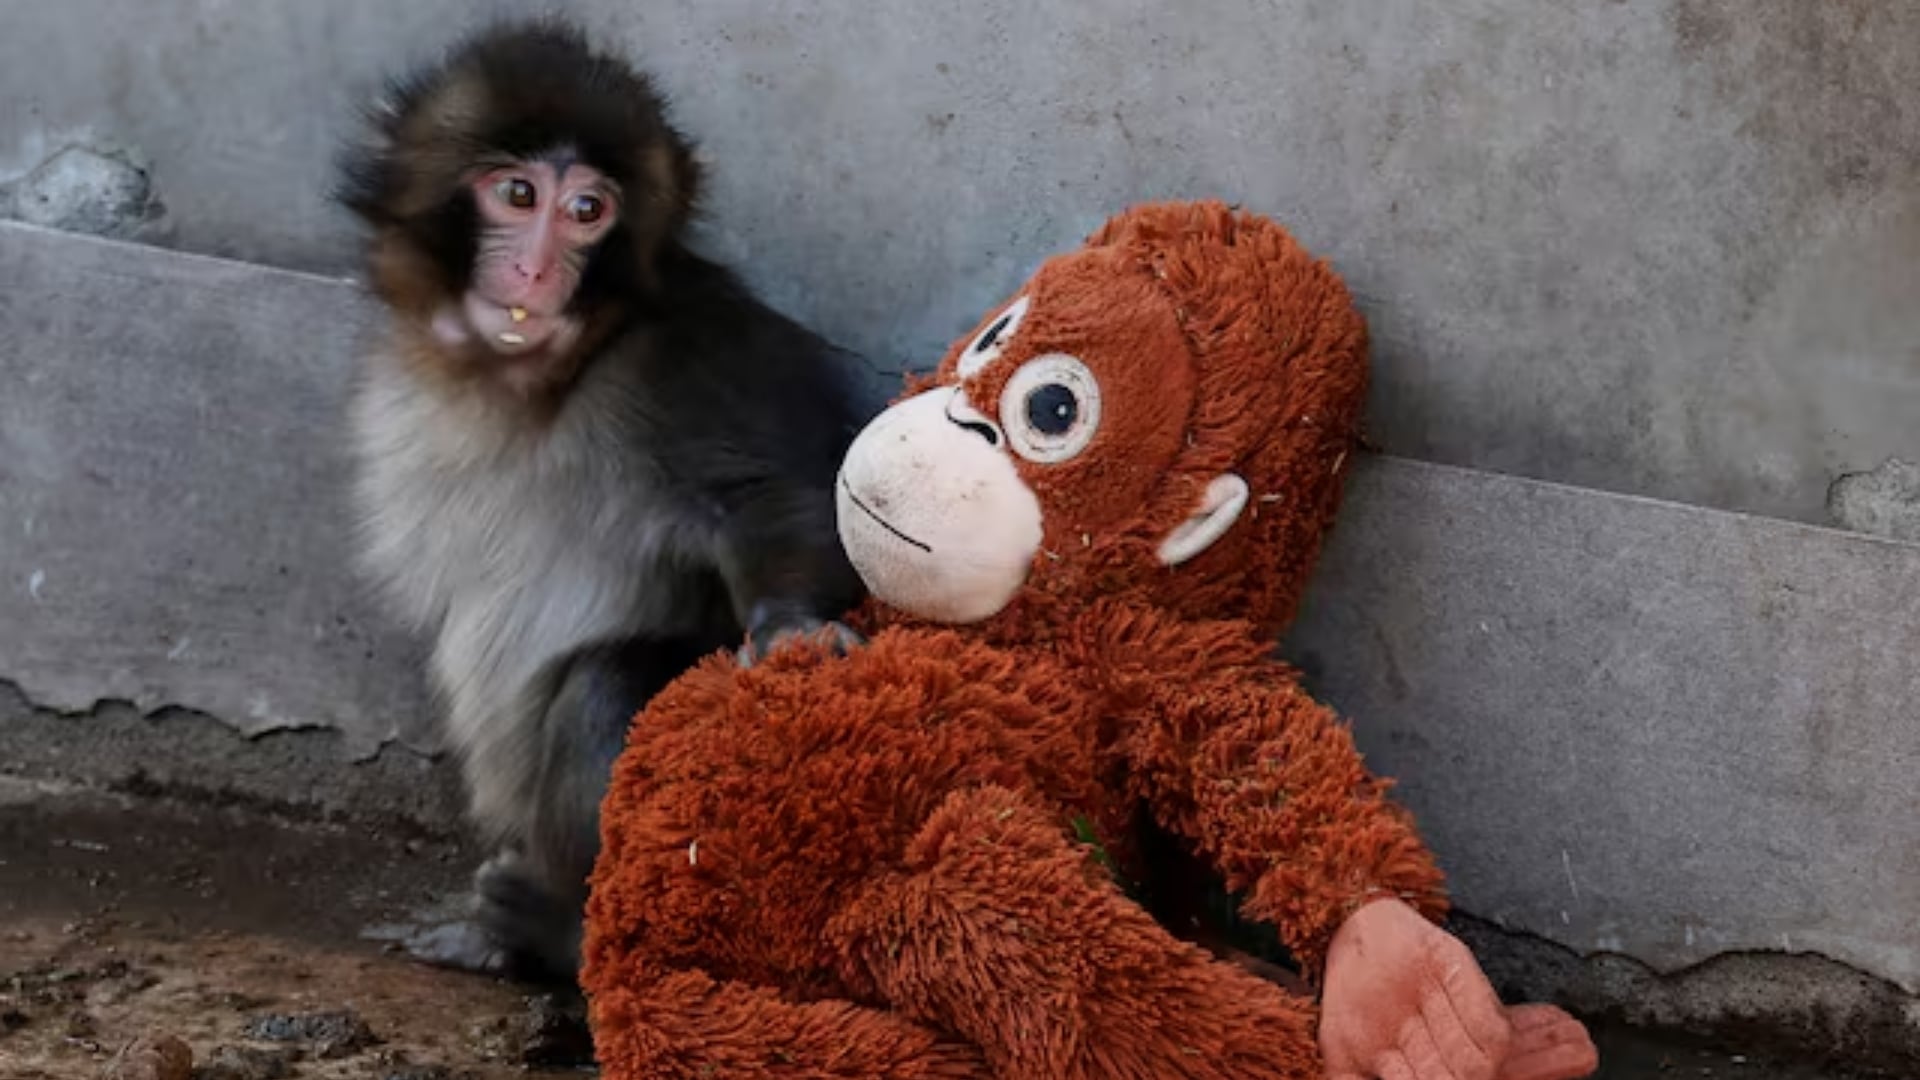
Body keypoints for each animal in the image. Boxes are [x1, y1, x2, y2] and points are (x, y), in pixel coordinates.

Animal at [334, 19, 869, 985]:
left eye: (589, 211)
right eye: (518, 194)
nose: (538, 267)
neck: (538, 380)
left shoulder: (684, 359)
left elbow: (778, 497)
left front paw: (791, 628)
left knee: (605, 688)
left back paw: (558, 934)